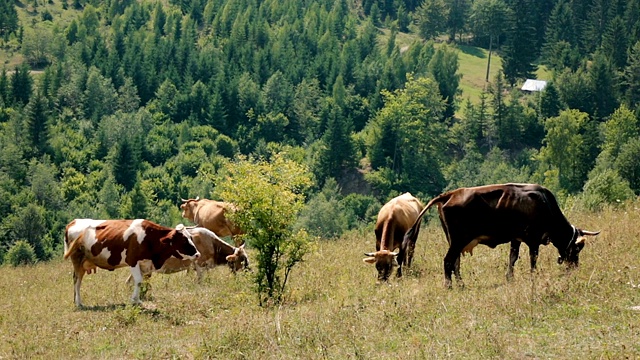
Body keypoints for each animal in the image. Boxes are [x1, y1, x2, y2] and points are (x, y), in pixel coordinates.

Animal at [62, 219, 199, 306]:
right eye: (183, 240)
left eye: (191, 237)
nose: (198, 254)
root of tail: (73, 222)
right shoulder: (132, 261)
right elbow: (138, 281)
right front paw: (135, 300)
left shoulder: (145, 265)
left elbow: (140, 282)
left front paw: (137, 299)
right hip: (77, 259)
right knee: (77, 280)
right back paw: (79, 303)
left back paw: (76, 301)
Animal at [402, 184, 604, 288]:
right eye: (577, 247)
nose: (575, 267)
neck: (545, 204)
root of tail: (449, 194)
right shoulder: (533, 239)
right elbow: (533, 260)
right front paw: (533, 276)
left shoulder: (516, 239)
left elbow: (512, 258)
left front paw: (510, 278)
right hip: (458, 240)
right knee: (448, 261)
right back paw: (450, 285)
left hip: (454, 241)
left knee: (455, 263)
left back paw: (461, 283)